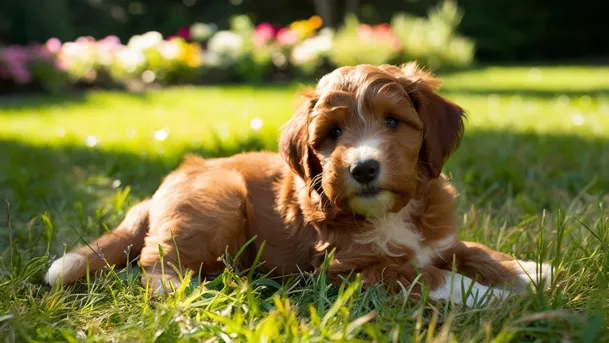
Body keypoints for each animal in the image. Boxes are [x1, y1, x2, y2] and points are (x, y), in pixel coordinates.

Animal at [47, 63, 552, 306]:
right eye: (332, 134)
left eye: (393, 121)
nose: (363, 169)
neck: (392, 212)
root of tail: (155, 195)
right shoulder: (350, 273)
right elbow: (429, 276)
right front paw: (493, 298)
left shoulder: (438, 238)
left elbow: (472, 251)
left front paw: (529, 271)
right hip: (216, 203)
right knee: (155, 264)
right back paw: (192, 293)